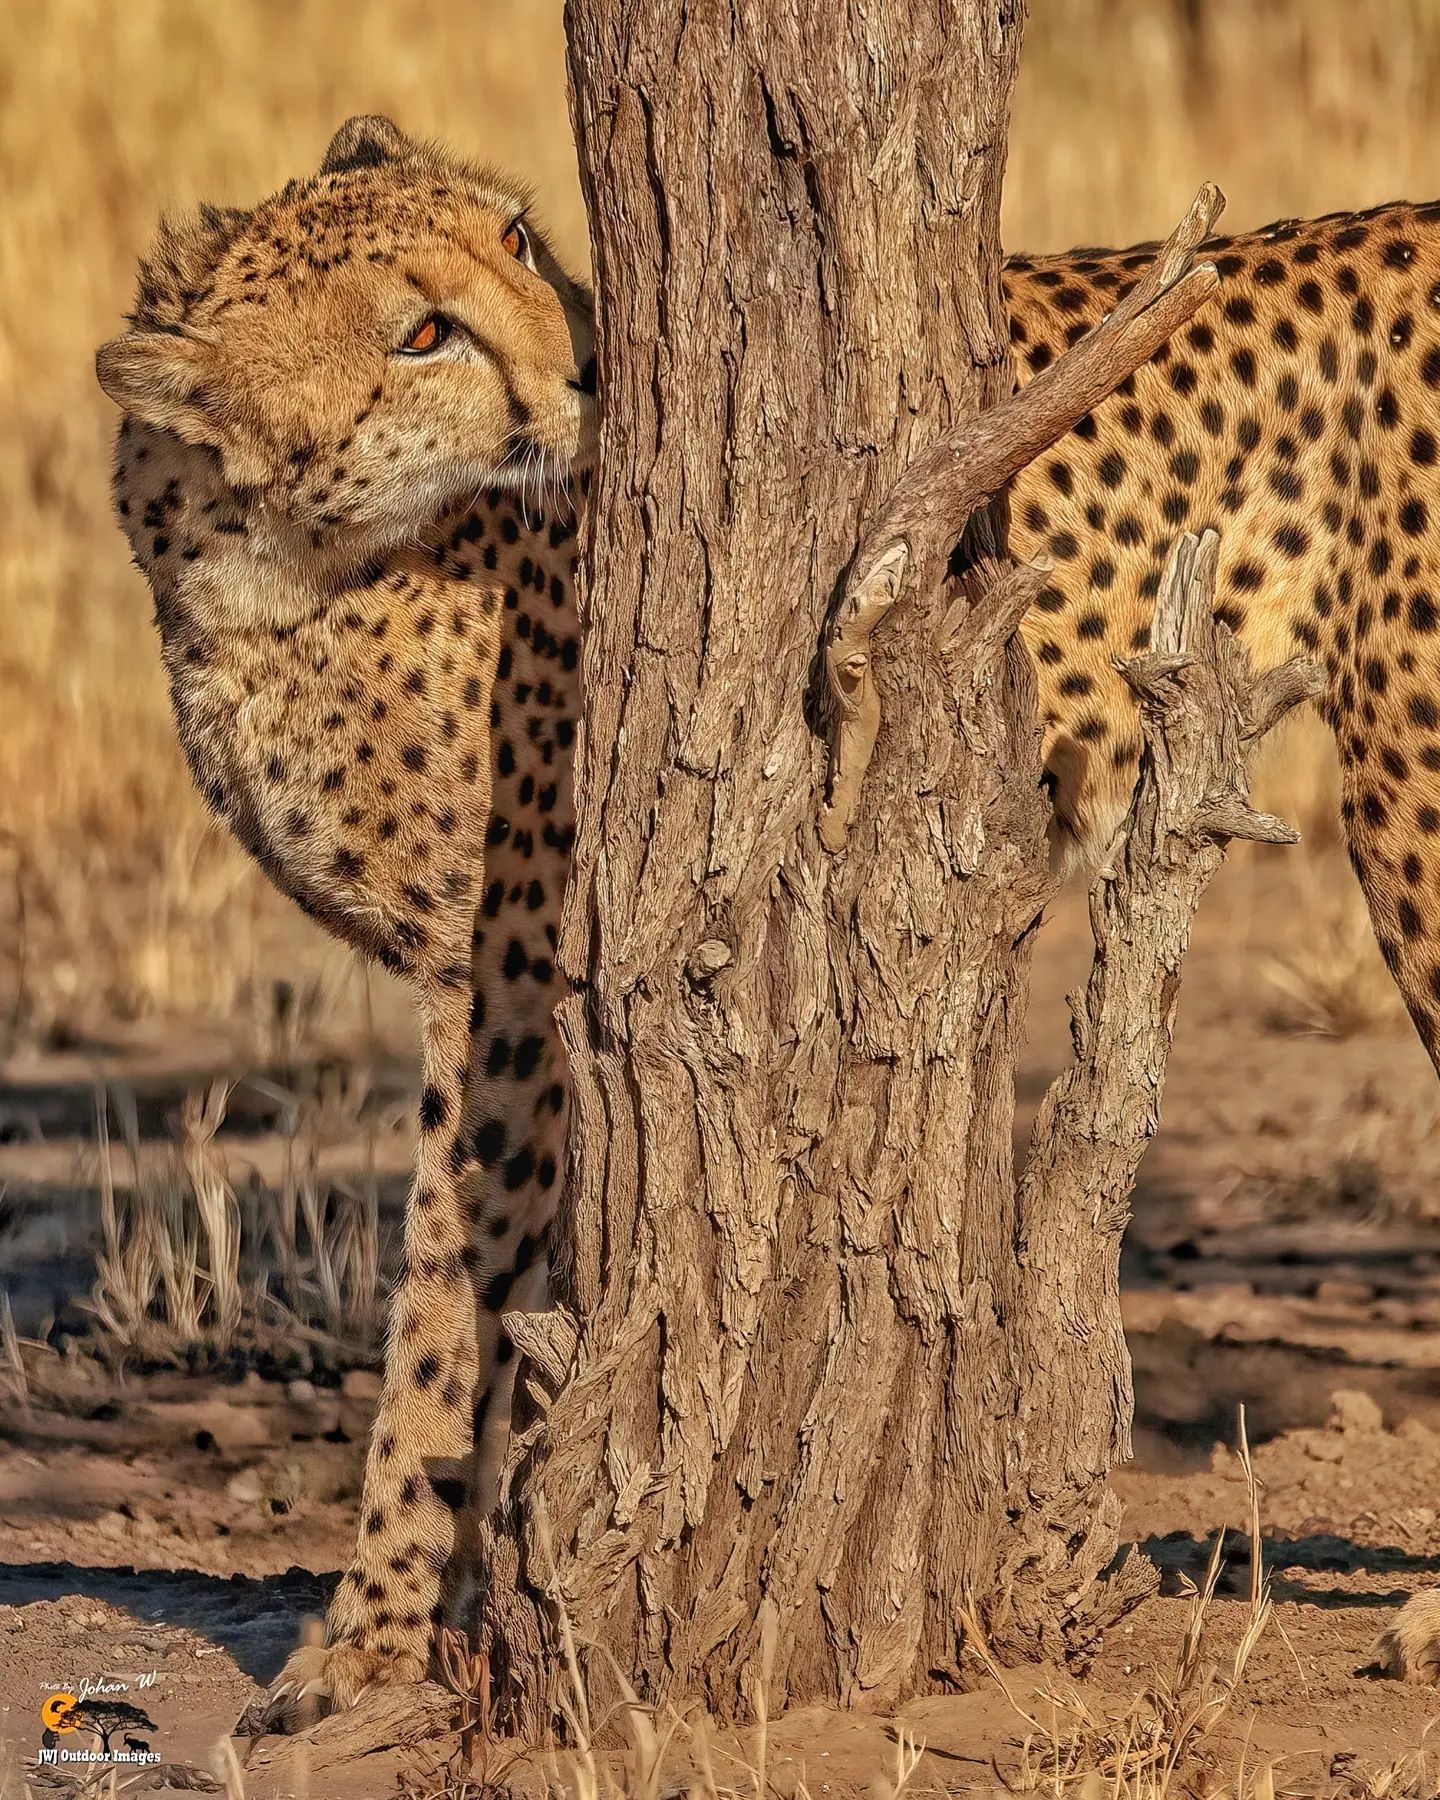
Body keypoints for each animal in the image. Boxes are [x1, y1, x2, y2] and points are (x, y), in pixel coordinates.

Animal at [97, 116, 590, 1728]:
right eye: (420, 336)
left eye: (516, 239)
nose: (595, 366)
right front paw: (471, 1604)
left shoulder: (508, 990)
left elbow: (441, 1310)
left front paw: (374, 1631)